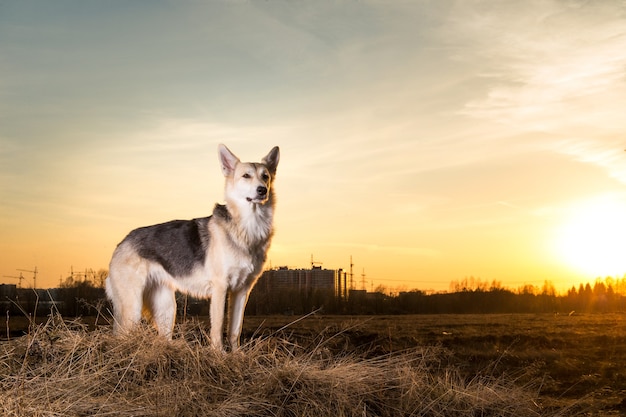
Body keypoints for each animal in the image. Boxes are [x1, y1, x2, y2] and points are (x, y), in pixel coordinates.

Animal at [106, 145, 280, 350]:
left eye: (265, 176)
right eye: (246, 176)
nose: (262, 190)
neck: (248, 226)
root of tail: (122, 242)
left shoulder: (242, 291)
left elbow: (235, 330)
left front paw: (237, 354)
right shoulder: (220, 288)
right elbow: (218, 328)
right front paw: (219, 354)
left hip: (167, 309)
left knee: (163, 336)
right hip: (132, 308)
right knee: (121, 336)